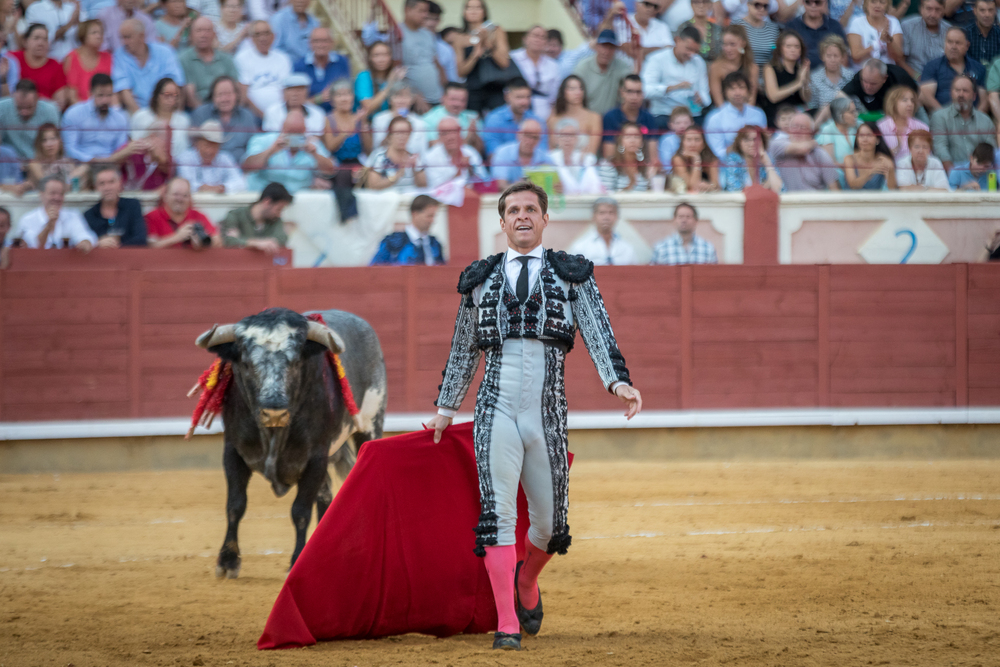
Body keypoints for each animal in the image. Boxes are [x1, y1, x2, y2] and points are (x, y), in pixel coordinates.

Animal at [195, 306, 386, 576]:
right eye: (246, 363)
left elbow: (300, 511)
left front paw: (296, 561)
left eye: (295, 362)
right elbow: (235, 505)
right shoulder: (233, 452)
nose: (274, 412)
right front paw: (227, 561)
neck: (273, 435)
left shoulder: (315, 457)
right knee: (325, 495)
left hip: (369, 425)